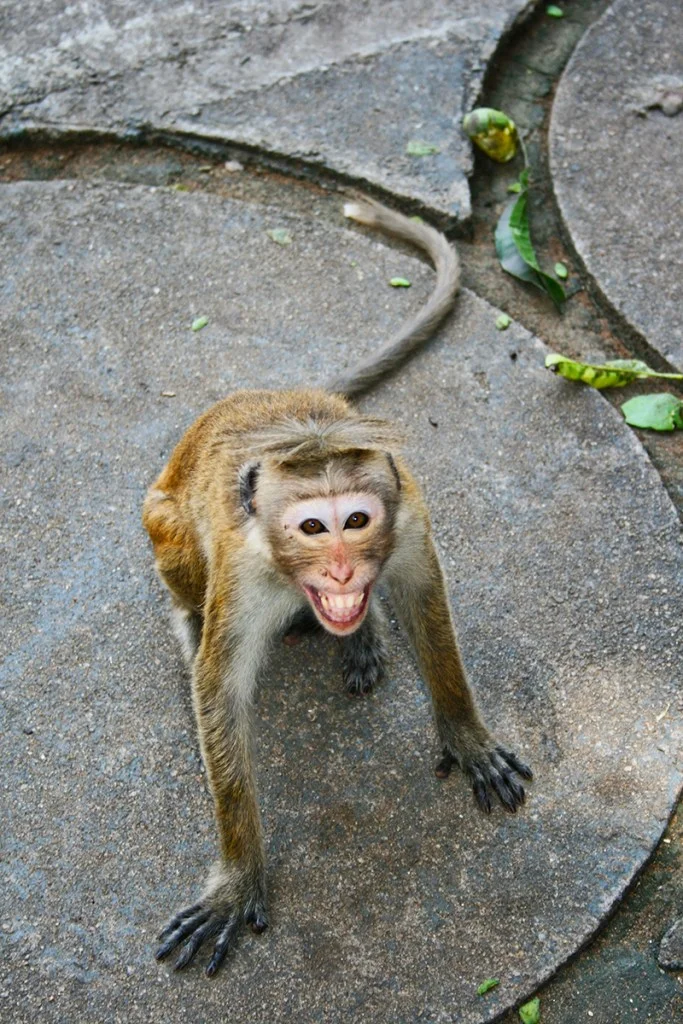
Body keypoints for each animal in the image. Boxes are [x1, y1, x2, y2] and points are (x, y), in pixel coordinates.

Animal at [143, 198, 532, 977]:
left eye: (356, 520)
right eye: (313, 528)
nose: (344, 571)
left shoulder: (409, 518)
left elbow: (424, 607)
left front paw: (466, 735)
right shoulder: (243, 571)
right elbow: (219, 692)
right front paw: (239, 877)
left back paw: (361, 636)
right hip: (165, 522)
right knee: (173, 547)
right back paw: (191, 623)